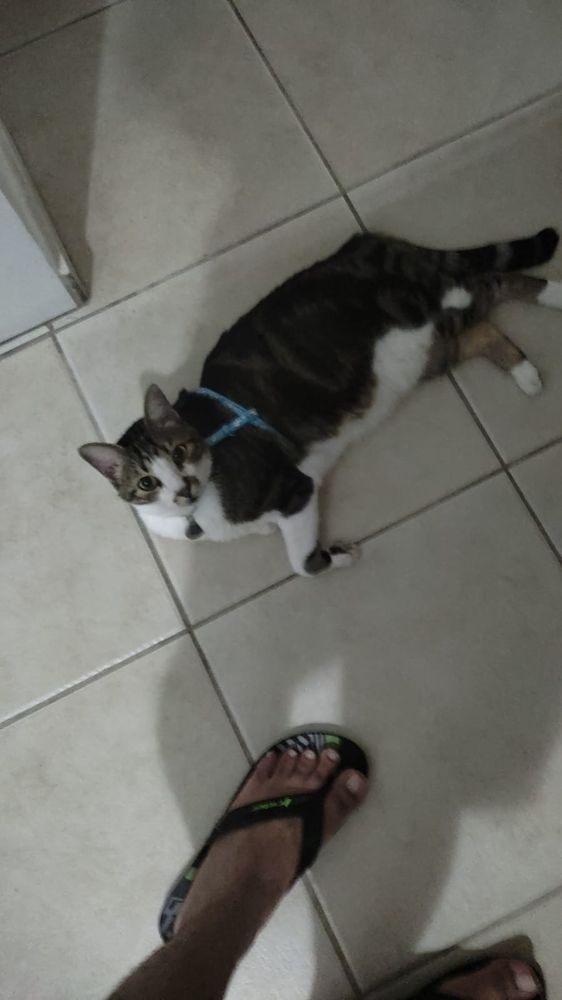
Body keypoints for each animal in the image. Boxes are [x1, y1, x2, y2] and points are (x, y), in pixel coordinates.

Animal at [80, 227, 561, 576]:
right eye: (147, 482)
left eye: (179, 451)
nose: (182, 488)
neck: (199, 513)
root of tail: (367, 242)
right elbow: (289, 549)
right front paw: (331, 550)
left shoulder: (295, 489)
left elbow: (302, 566)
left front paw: (340, 554)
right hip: (431, 350)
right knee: (485, 317)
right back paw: (527, 374)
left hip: (419, 304)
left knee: (481, 281)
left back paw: (551, 298)